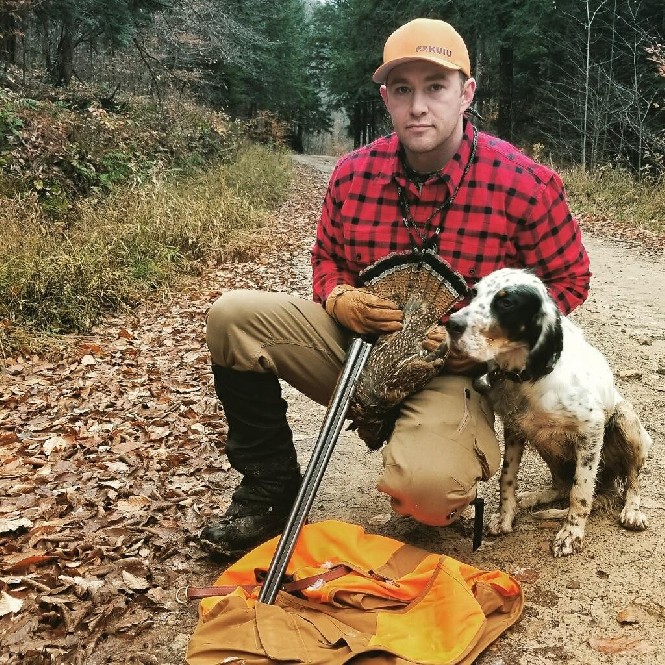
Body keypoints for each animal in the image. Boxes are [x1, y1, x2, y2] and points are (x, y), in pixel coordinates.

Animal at [445, 268, 652, 557]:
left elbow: (580, 491)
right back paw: (531, 498)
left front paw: (571, 534)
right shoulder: (514, 428)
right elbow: (507, 478)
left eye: (506, 302)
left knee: (631, 480)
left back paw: (632, 511)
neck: (524, 376)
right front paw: (505, 516)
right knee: (560, 486)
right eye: (473, 294)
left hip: (626, 421)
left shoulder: (591, 431)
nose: (451, 324)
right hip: (544, 441)